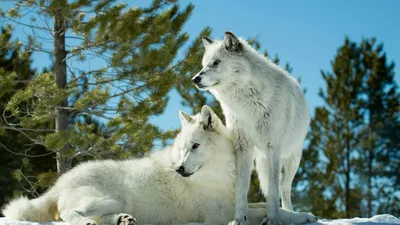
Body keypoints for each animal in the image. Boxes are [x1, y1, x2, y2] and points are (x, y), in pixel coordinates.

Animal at [2, 106, 316, 225]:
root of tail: (57, 185)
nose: (179, 169)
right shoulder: (217, 214)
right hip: (106, 198)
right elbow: (265, 211)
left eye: (195, 146)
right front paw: (301, 217)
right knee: (68, 216)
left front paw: (300, 214)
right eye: (182, 148)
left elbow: (263, 206)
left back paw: (123, 221)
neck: (216, 173)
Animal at [192, 31, 314, 225]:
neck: (247, 104)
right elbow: (242, 189)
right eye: (204, 64)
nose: (195, 79)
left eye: (216, 62)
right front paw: (239, 219)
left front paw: (272, 219)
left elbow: (274, 191)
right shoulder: (242, 148)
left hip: (292, 159)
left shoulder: (273, 149)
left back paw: (290, 213)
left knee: (284, 189)